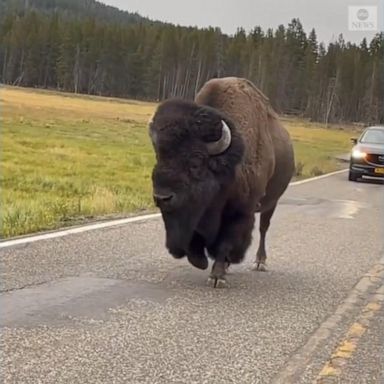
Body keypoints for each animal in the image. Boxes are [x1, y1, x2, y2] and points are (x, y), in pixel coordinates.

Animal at [148, 78, 292, 286]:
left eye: (196, 161)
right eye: (159, 156)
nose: (162, 197)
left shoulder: (241, 212)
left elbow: (225, 242)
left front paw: (217, 277)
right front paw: (202, 262)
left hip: (271, 203)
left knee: (264, 228)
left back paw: (259, 262)